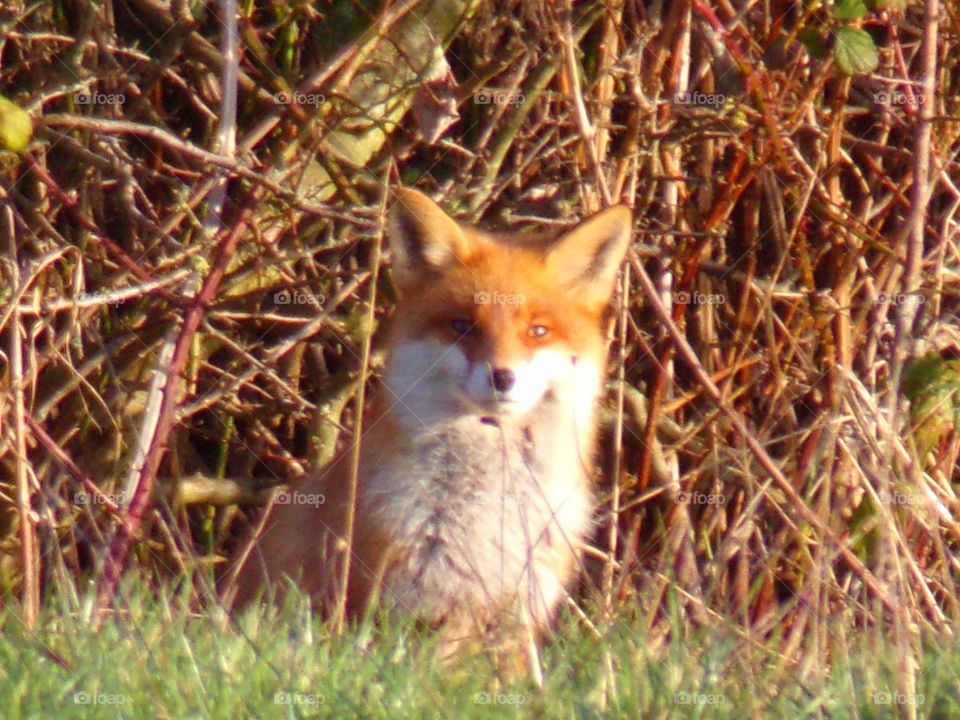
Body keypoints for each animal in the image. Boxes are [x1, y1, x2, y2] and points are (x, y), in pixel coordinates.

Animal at [226, 187, 632, 660]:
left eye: (538, 331)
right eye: (462, 326)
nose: (502, 377)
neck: (490, 503)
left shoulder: (515, 617)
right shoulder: (396, 606)